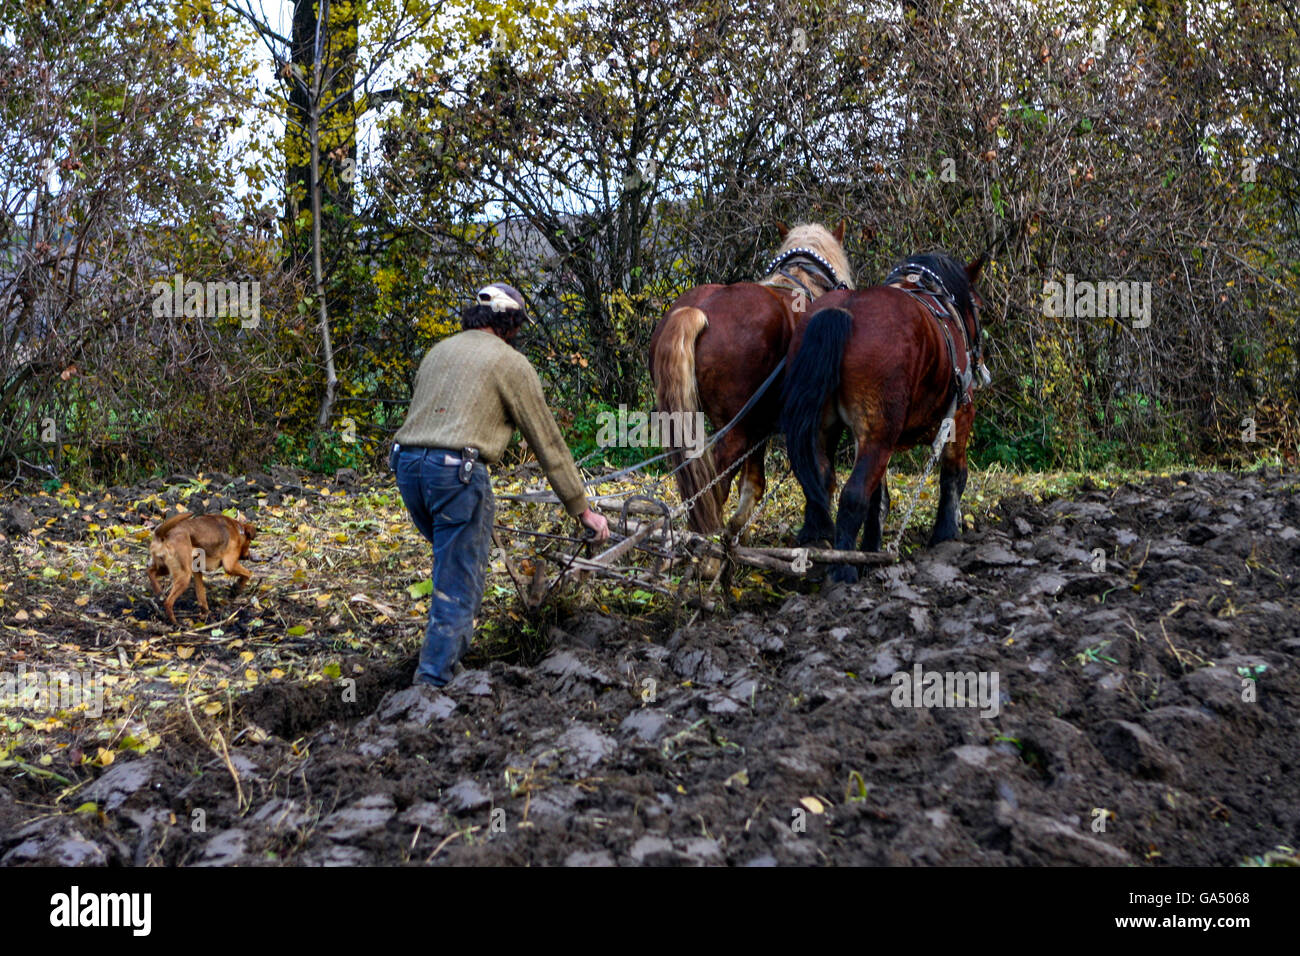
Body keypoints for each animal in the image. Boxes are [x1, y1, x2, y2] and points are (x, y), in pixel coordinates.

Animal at [649, 221, 854, 536]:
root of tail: (697, 311)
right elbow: (824, 475)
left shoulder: (760, 423)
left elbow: (753, 482)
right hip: (737, 428)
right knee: (715, 482)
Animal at [780, 251, 990, 582]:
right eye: (979, 307)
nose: (980, 362)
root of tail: (844, 311)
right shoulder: (960, 415)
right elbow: (953, 476)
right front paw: (945, 536)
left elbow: (878, 498)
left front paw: (872, 550)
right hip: (881, 434)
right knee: (853, 495)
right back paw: (843, 570)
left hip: (829, 430)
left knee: (823, 483)